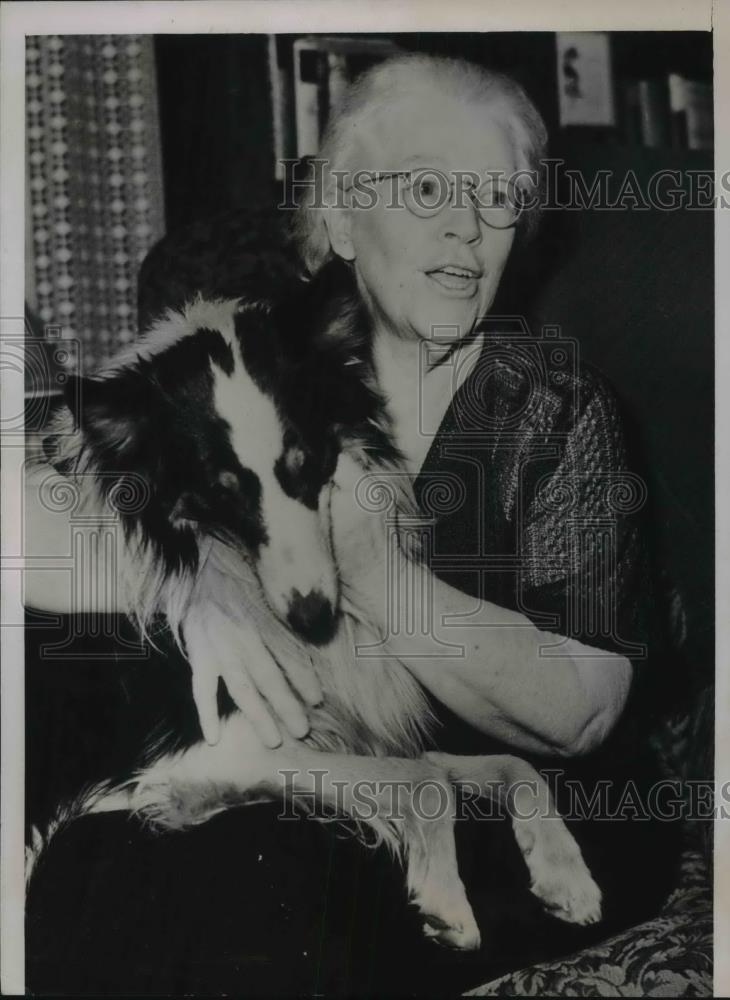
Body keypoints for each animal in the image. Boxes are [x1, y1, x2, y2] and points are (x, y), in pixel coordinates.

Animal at [31, 262, 596, 948]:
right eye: (223, 491)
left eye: (306, 463)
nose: (313, 618)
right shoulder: (226, 743)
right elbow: (426, 779)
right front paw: (445, 900)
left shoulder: (346, 734)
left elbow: (514, 764)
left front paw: (566, 875)